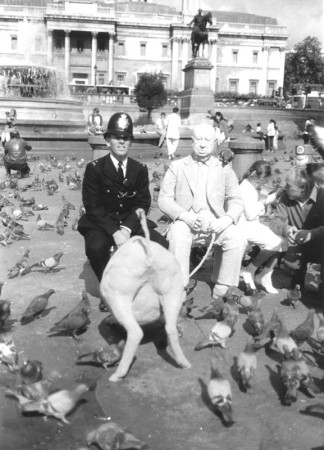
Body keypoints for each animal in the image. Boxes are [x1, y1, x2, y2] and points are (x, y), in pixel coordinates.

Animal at [99, 209, 190, 382]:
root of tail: (148, 257)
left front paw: (110, 320)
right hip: (172, 289)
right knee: (170, 328)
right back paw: (185, 363)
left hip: (119, 293)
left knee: (135, 332)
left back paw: (116, 376)